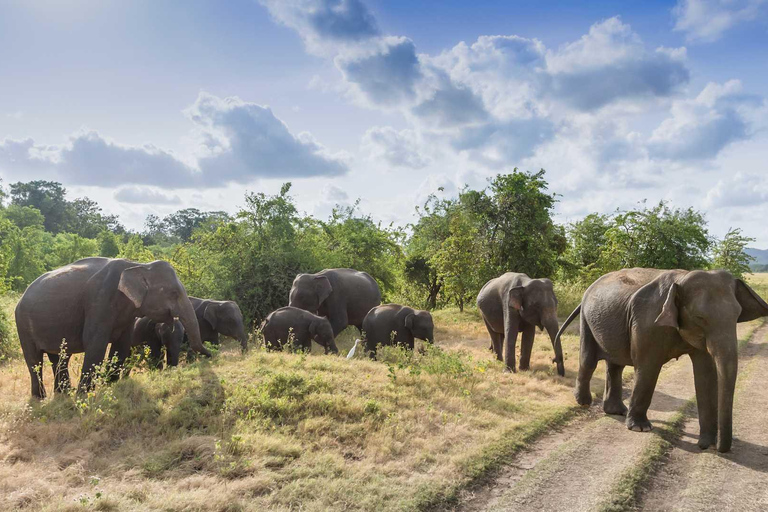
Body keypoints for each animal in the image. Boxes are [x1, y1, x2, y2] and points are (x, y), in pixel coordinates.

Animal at [17, 258, 210, 398]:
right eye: (174, 293)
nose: (210, 355)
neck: (138, 265)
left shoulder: (128, 312)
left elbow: (122, 345)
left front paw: (111, 386)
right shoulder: (99, 301)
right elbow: (95, 344)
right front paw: (84, 395)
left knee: (59, 358)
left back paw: (63, 394)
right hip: (22, 324)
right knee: (34, 360)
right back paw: (40, 398)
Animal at [556, 268, 768, 452]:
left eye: (737, 315)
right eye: (699, 317)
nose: (707, 446)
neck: (682, 279)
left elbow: (705, 375)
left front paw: (707, 441)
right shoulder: (647, 323)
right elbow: (648, 368)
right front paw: (641, 429)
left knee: (615, 365)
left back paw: (617, 411)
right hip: (587, 320)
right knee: (589, 361)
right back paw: (585, 403)